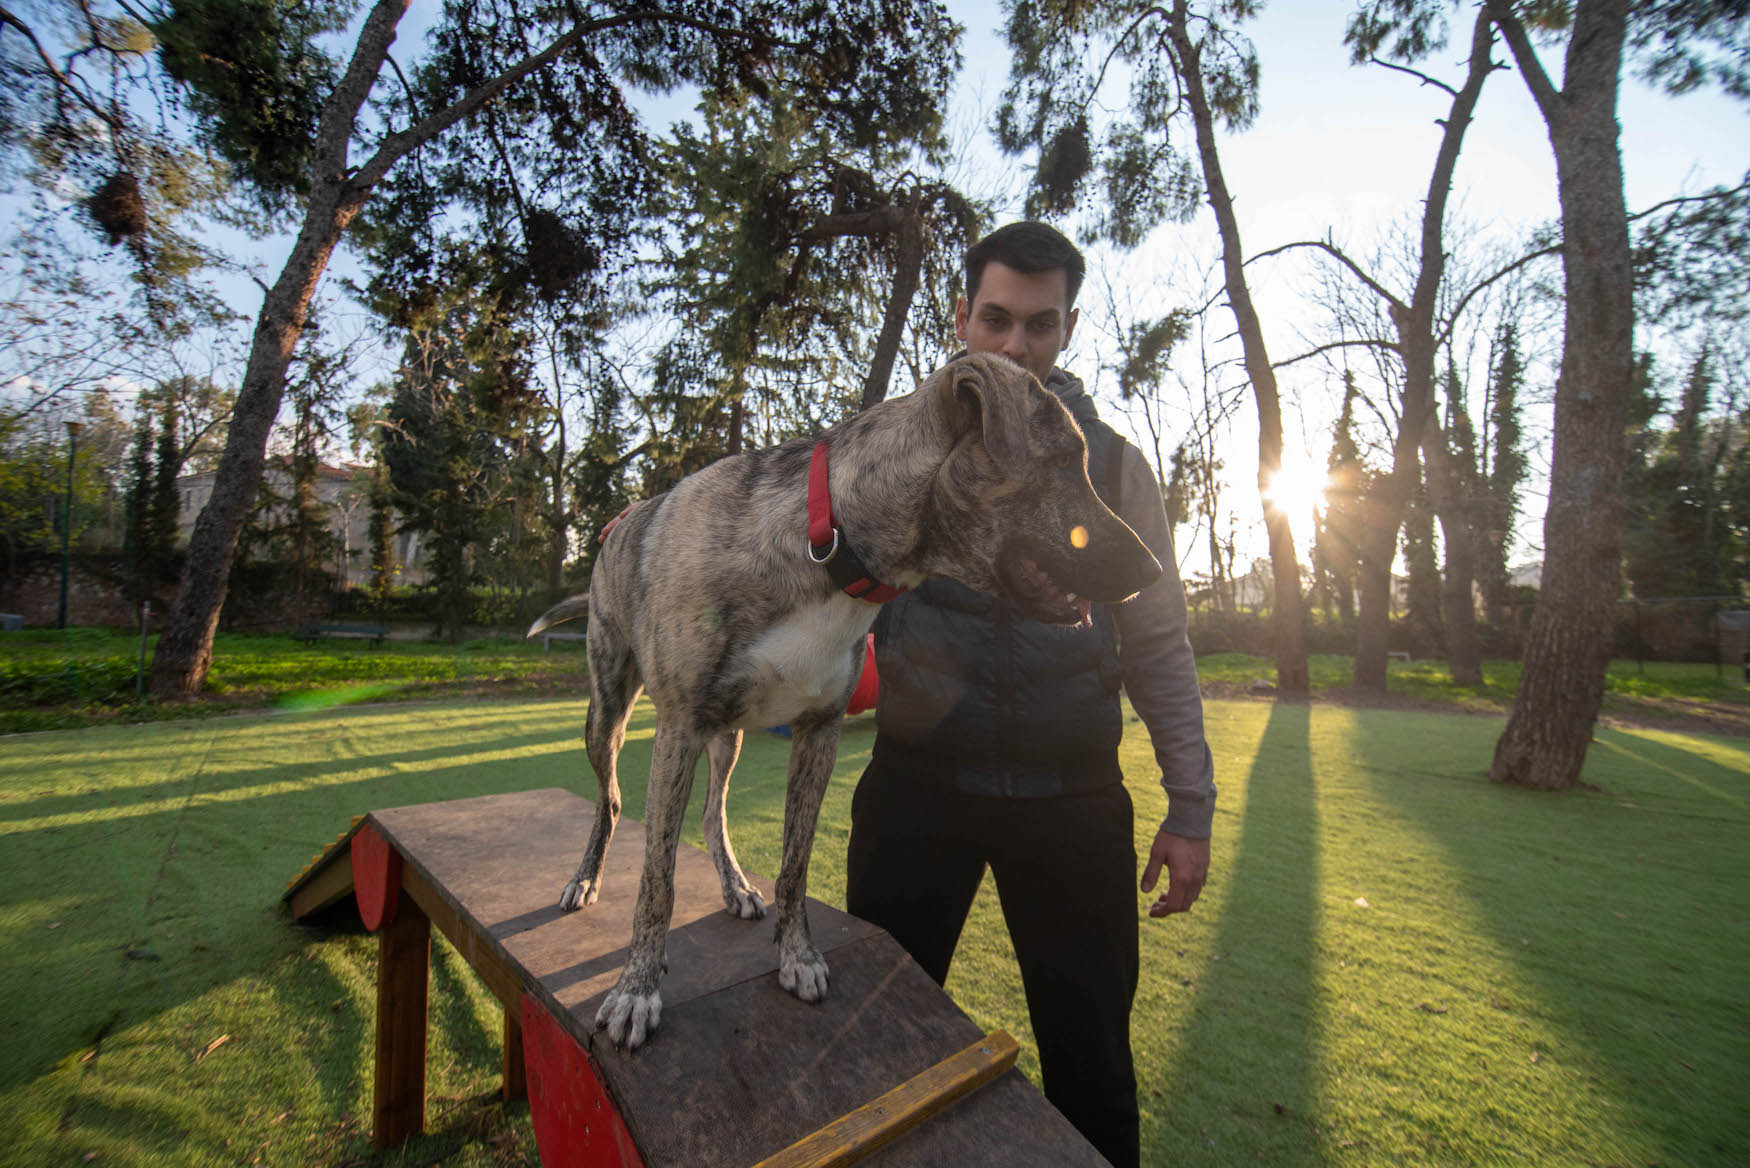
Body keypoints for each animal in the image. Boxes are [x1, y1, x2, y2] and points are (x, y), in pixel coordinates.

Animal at [532, 353, 1162, 1050]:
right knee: (612, 799)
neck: (829, 543)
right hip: (610, 714)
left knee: (713, 811)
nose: (1155, 571)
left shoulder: (819, 733)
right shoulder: (679, 729)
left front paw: (798, 955)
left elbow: (795, 865)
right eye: (1067, 460)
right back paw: (586, 877)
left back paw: (733, 883)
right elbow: (657, 881)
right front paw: (637, 988)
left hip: (729, 735)